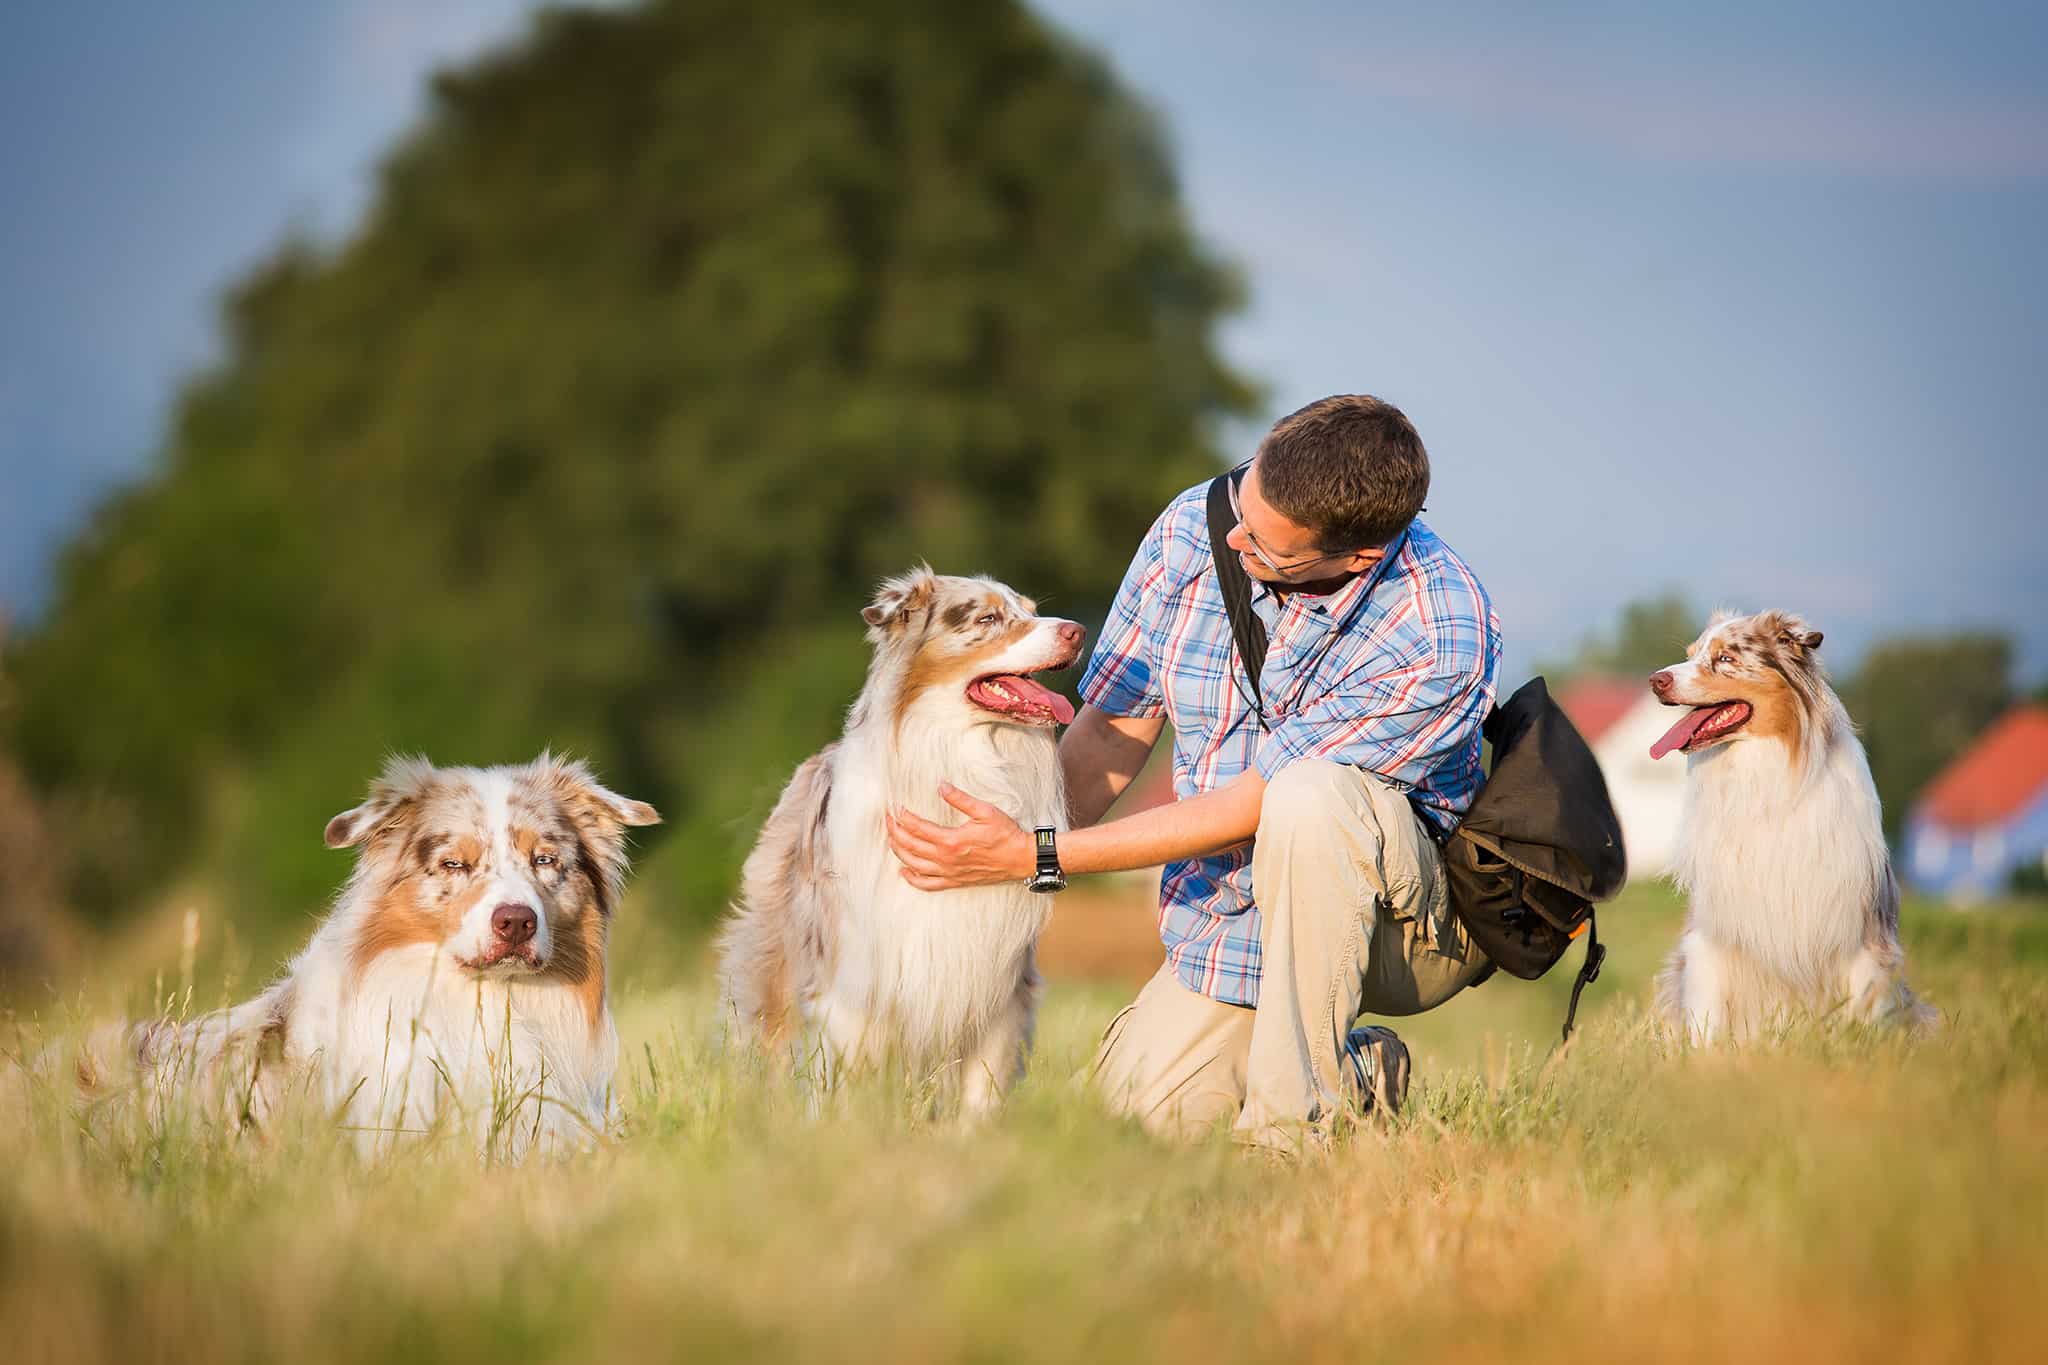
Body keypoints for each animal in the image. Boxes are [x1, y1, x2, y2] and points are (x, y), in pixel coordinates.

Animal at [716, 564, 1081, 1113]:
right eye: (988, 618)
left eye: (1033, 610)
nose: (1077, 631)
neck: (959, 756)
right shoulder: (853, 985)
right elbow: (842, 1087)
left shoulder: (998, 990)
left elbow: (980, 1097)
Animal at [1646, 613, 1933, 1039]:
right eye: (1690, 654)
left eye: (1726, 658)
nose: (1655, 680)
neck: (1764, 772)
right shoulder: (1711, 933)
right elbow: (1705, 1021)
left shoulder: (1861, 935)